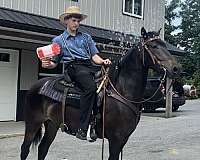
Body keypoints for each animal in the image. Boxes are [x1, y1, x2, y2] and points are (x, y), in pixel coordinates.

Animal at [19, 27, 180, 160]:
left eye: (164, 45)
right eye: (154, 46)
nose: (176, 68)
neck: (122, 90)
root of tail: (35, 86)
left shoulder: (123, 139)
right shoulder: (116, 139)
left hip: (52, 124)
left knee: (43, 148)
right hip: (33, 123)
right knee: (25, 149)